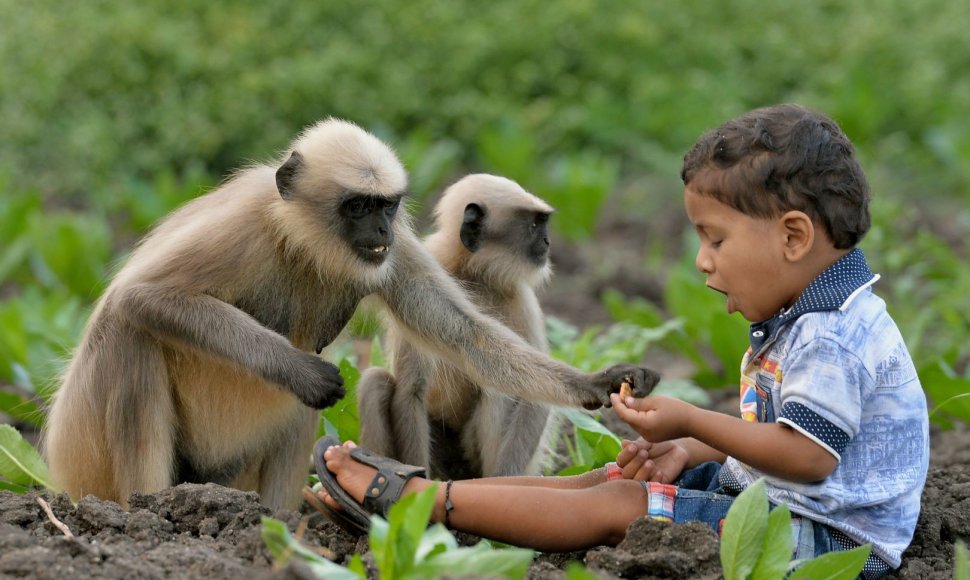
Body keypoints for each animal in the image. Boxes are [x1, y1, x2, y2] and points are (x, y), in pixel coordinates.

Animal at [356, 173, 568, 480]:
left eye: (543, 223)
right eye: (534, 225)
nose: (547, 242)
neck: (471, 272)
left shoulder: (521, 297)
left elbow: (535, 394)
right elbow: (411, 389)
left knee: (500, 389)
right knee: (375, 381)